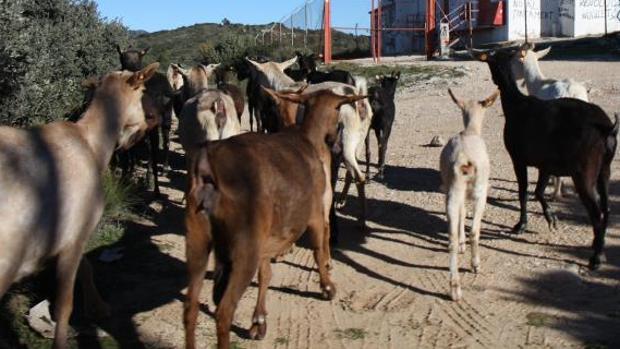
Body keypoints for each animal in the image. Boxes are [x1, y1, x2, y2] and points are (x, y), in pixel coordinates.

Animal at [0, 63, 159, 348]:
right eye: (142, 91)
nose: (152, 120)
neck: (94, 145)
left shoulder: (76, 230)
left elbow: (86, 265)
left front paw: (98, 306)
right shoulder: (74, 233)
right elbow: (65, 305)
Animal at [184, 89, 368, 348]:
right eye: (339, 112)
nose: (334, 142)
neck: (308, 139)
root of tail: (208, 165)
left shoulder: (266, 235)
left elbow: (266, 274)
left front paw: (259, 321)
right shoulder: (314, 215)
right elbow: (318, 250)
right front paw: (327, 287)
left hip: (197, 241)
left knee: (190, 309)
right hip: (244, 246)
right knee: (224, 312)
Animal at [440, 88, 498, 300]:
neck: (470, 131)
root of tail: (463, 159)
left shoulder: (458, 194)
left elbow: (462, 215)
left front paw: (462, 244)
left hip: (452, 190)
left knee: (451, 236)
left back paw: (455, 288)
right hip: (480, 190)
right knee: (475, 230)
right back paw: (475, 265)